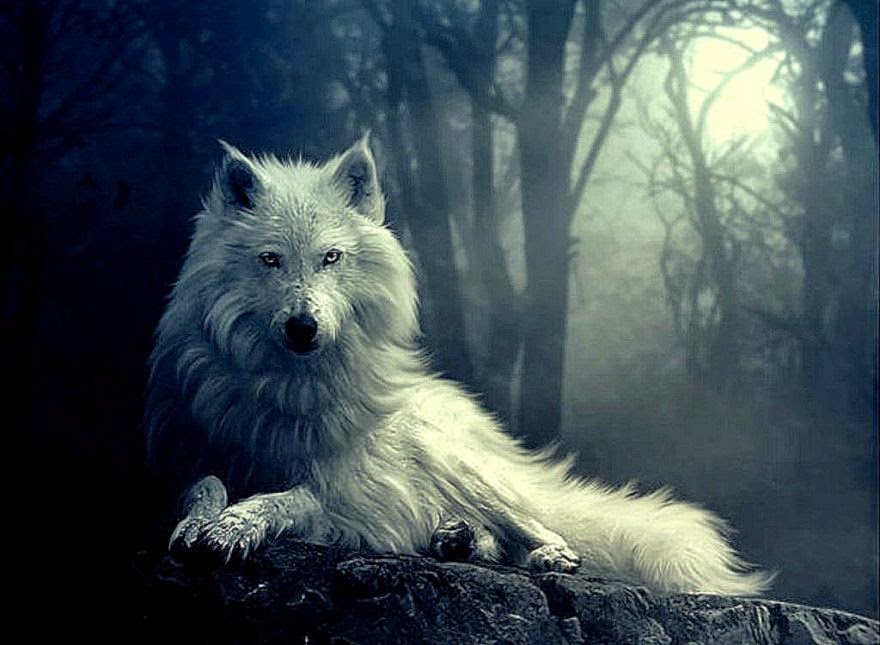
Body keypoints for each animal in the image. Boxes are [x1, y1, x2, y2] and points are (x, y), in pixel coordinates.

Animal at [145, 135, 771, 596]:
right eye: (270, 259)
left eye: (331, 258)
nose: (303, 327)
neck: (289, 387)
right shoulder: (186, 455)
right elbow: (203, 484)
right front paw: (201, 522)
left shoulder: (347, 494)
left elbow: (289, 498)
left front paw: (235, 525)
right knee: (482, 533)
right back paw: (456, 539)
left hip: (458, 464)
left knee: (538, 526)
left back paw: (543, 553)